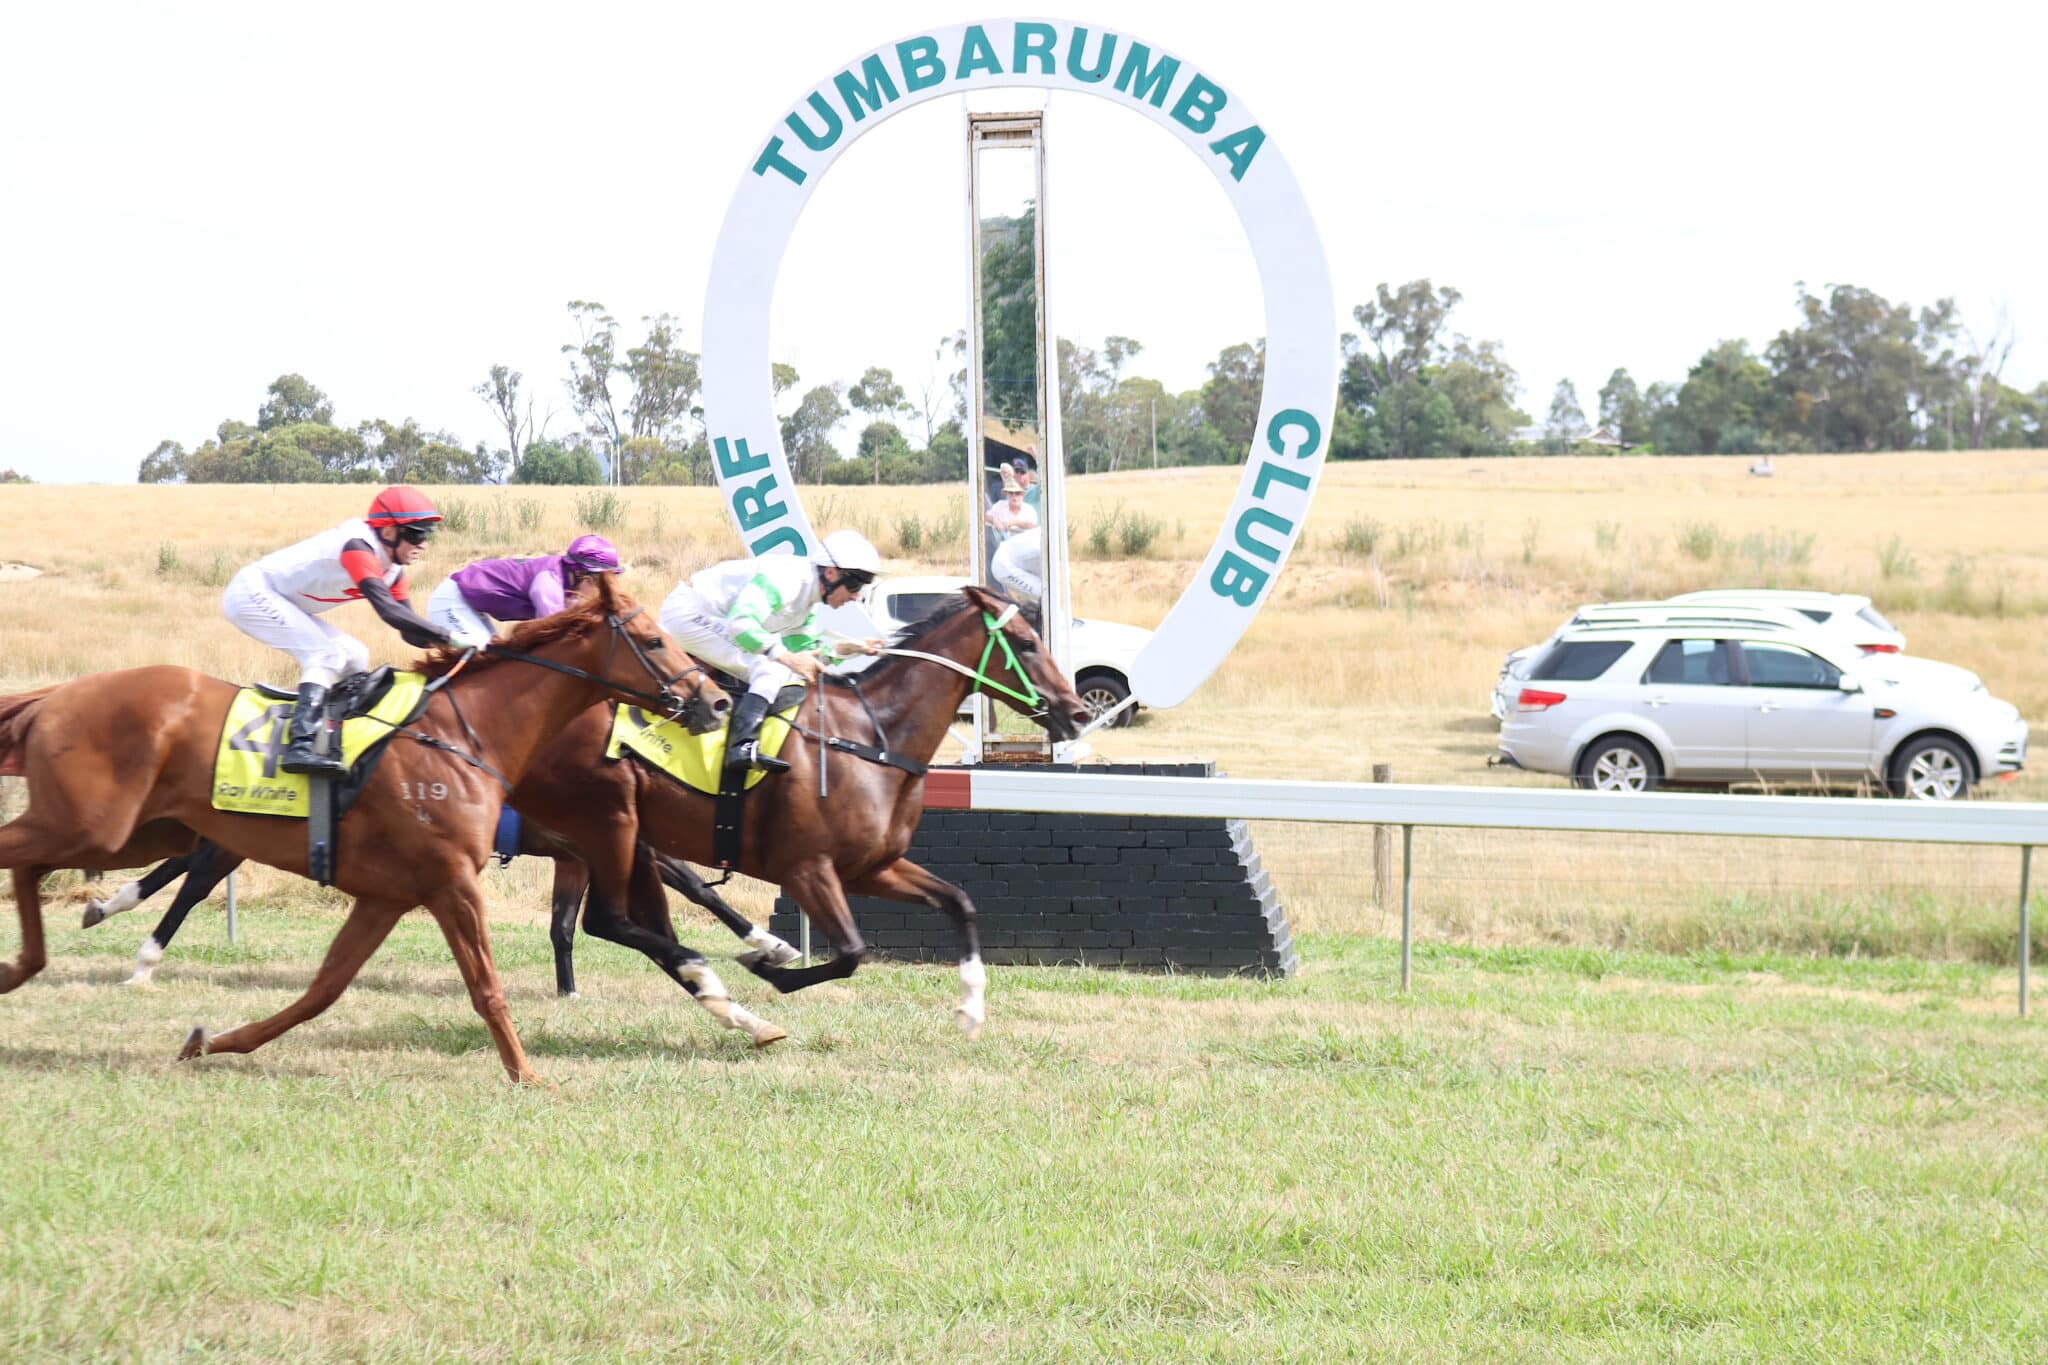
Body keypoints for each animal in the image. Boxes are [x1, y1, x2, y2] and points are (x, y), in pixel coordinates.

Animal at [0, 581, 753, 1080]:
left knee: (76, 868)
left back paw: (40, 956)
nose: (716, 701)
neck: (466, 733)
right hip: (99, 822)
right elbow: (491, 983)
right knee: (129, 874)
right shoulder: (455, 881)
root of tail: (58, 694)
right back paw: (99, 955)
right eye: (654, 640)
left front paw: (212, 1043)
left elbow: (323, 989)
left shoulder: (390, 893)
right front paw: (528, 1075)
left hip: (137, 828)